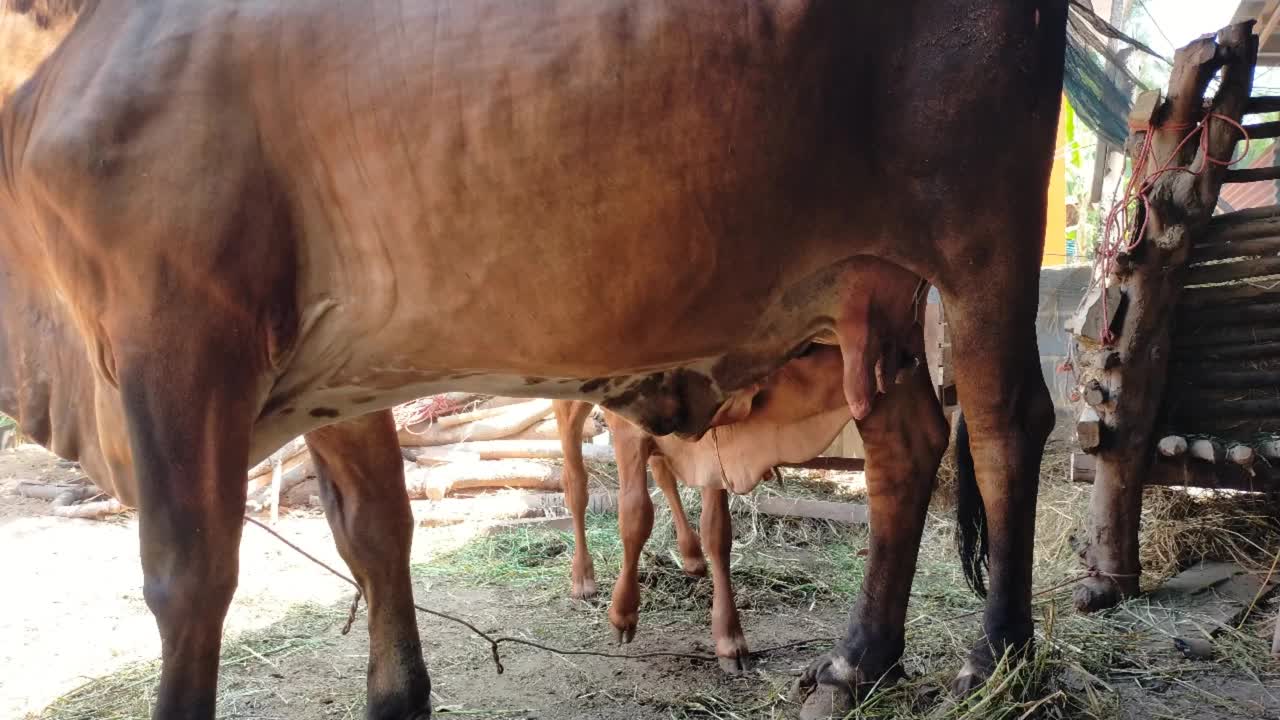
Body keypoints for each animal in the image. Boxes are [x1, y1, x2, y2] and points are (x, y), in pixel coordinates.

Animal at [0, 2, 1059, 712]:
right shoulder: (340, 368)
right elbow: (376, 534)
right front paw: (398, 695)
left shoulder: (174, 334)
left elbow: (186, 577)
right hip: (870, 288)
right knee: (905, 443)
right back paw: (859, 660)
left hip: (983, 236)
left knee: (1007, 424)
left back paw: (998, 657)